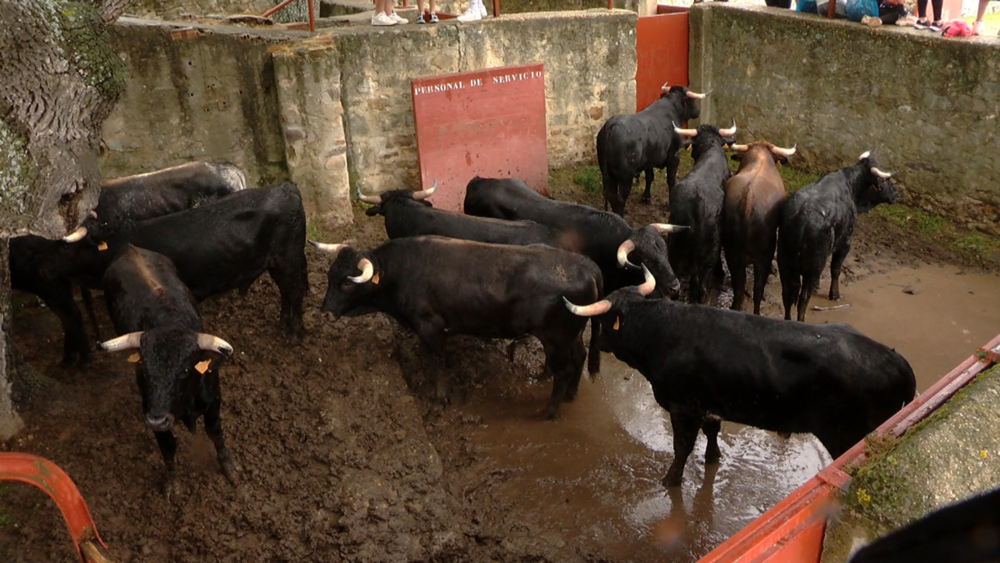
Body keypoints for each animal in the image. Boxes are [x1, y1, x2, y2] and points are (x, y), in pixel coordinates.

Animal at [314, 235, 600, 418]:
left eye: (347, 283)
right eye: (329, 275)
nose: (325, 312)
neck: (401, 270)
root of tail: (585, 266)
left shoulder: (429, 326)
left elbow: (437, 362)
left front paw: (439, 400)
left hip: (556, 338)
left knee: (564, 370)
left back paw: (549, 411)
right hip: (570, 336)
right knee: (580, 356)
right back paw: (570, 395)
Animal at [564, 270, 916, 486]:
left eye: (604, 321)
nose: (595, 343)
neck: (662, 332)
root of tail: (895, 358)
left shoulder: (683, 409)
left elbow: (682, 448)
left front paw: (670, 480)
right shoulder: (710, 405)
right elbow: (712, 432)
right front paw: (713, 459)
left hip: (848, 436)